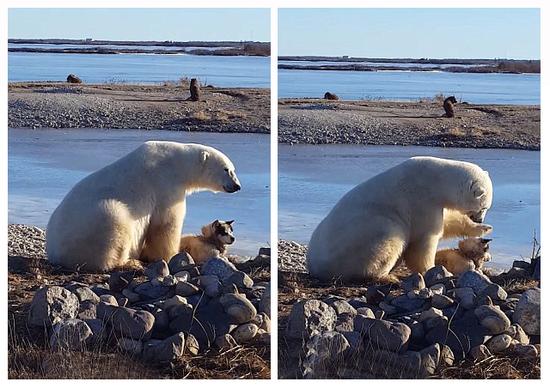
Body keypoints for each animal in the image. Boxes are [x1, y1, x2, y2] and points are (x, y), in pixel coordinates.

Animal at [48, 141, 243, 272]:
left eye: (233, 169)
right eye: (226, 169)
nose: (237, 186)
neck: (177, 163)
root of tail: (54, 252)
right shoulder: (165, 184)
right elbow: (166, 224)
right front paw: (170, 255)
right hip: (94, 223)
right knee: (115, 223)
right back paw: (130, 262)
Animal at [308, 156, 494, 280]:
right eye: (483, 207)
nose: (480, 219)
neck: (436, 178)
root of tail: (314, 265)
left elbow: (449, 221)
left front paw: (484, 228)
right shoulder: (421, 199)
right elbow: (424, 238)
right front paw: (432, 269)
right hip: (360, 238)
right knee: (389, 238)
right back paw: (385, 275)